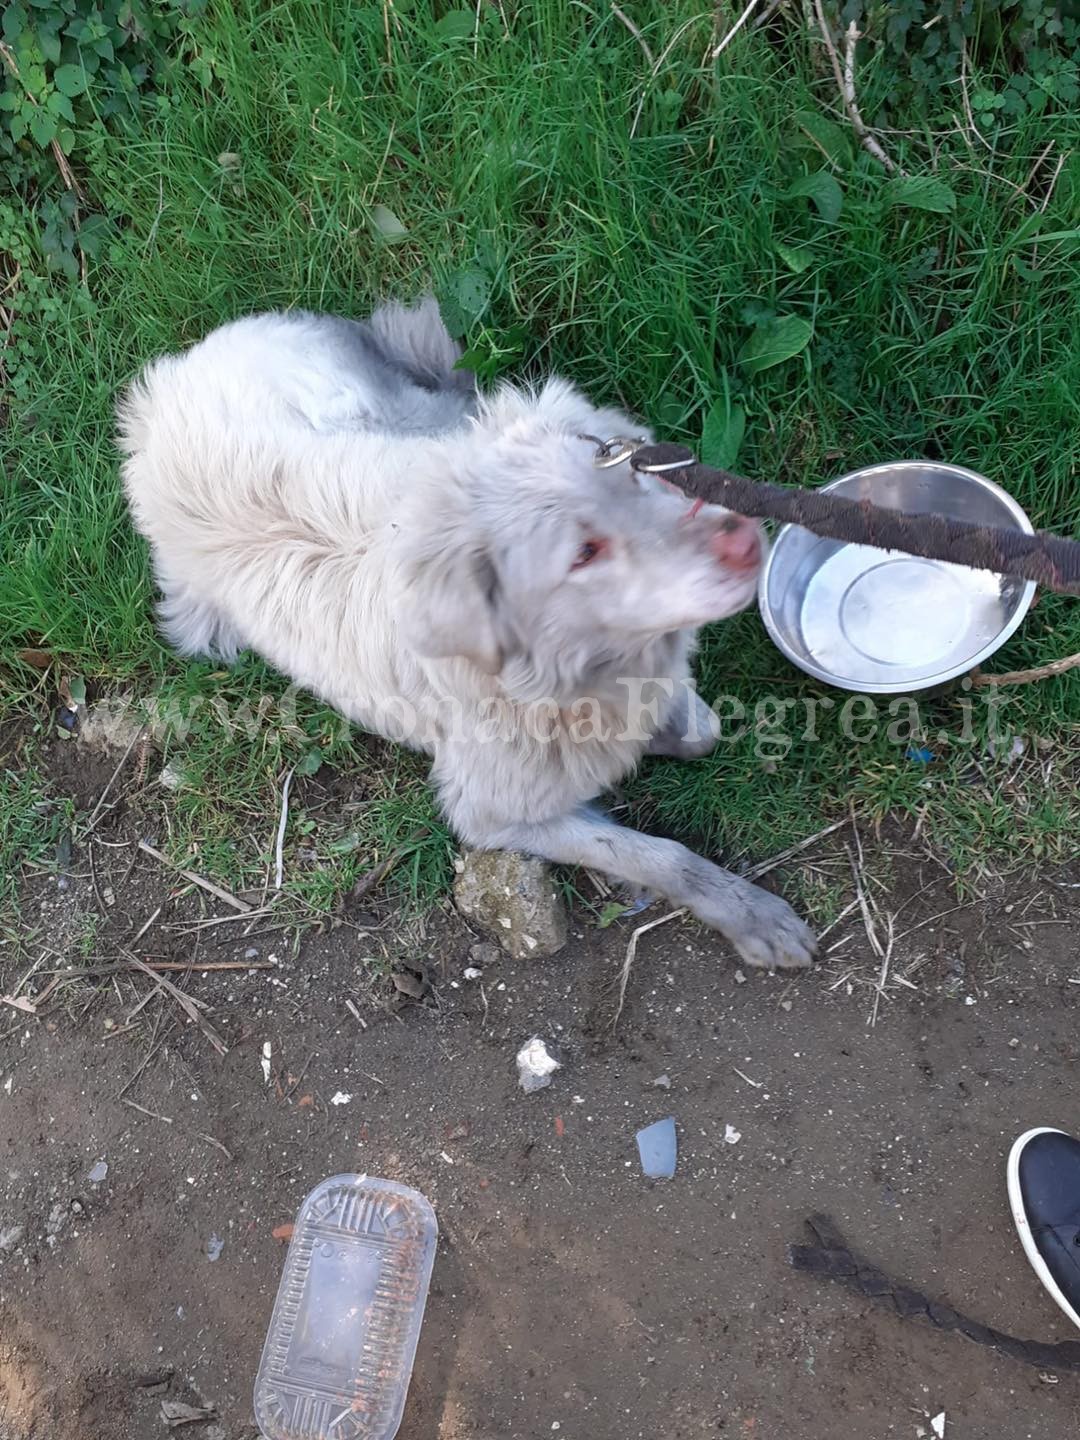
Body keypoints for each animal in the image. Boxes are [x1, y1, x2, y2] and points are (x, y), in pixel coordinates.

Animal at [118, 300, 817, 967]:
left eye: (636, 474)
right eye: (584, 553)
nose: (742, 540)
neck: (553, 676)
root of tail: (167, 381)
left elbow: (702, 729)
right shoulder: (486, 815)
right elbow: (658, 854)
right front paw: (752, 914)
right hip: (203, 621)